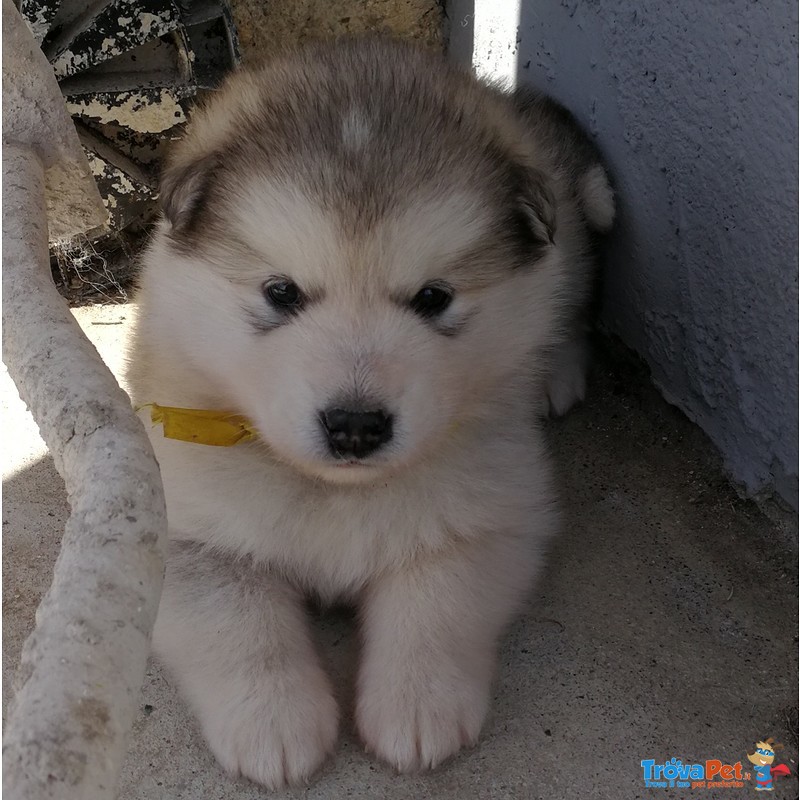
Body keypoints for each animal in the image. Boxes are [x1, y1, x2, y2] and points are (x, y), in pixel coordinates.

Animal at [126, 36, 612, 788]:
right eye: (281, 292)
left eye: (434, 297)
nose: (355, 425)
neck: (336, 493)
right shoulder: (183, 527)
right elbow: (236, 624)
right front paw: (273, 720)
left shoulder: (490, 514)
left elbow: (437, 602)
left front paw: (417, 706)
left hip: (571, 249)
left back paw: (556, 371)